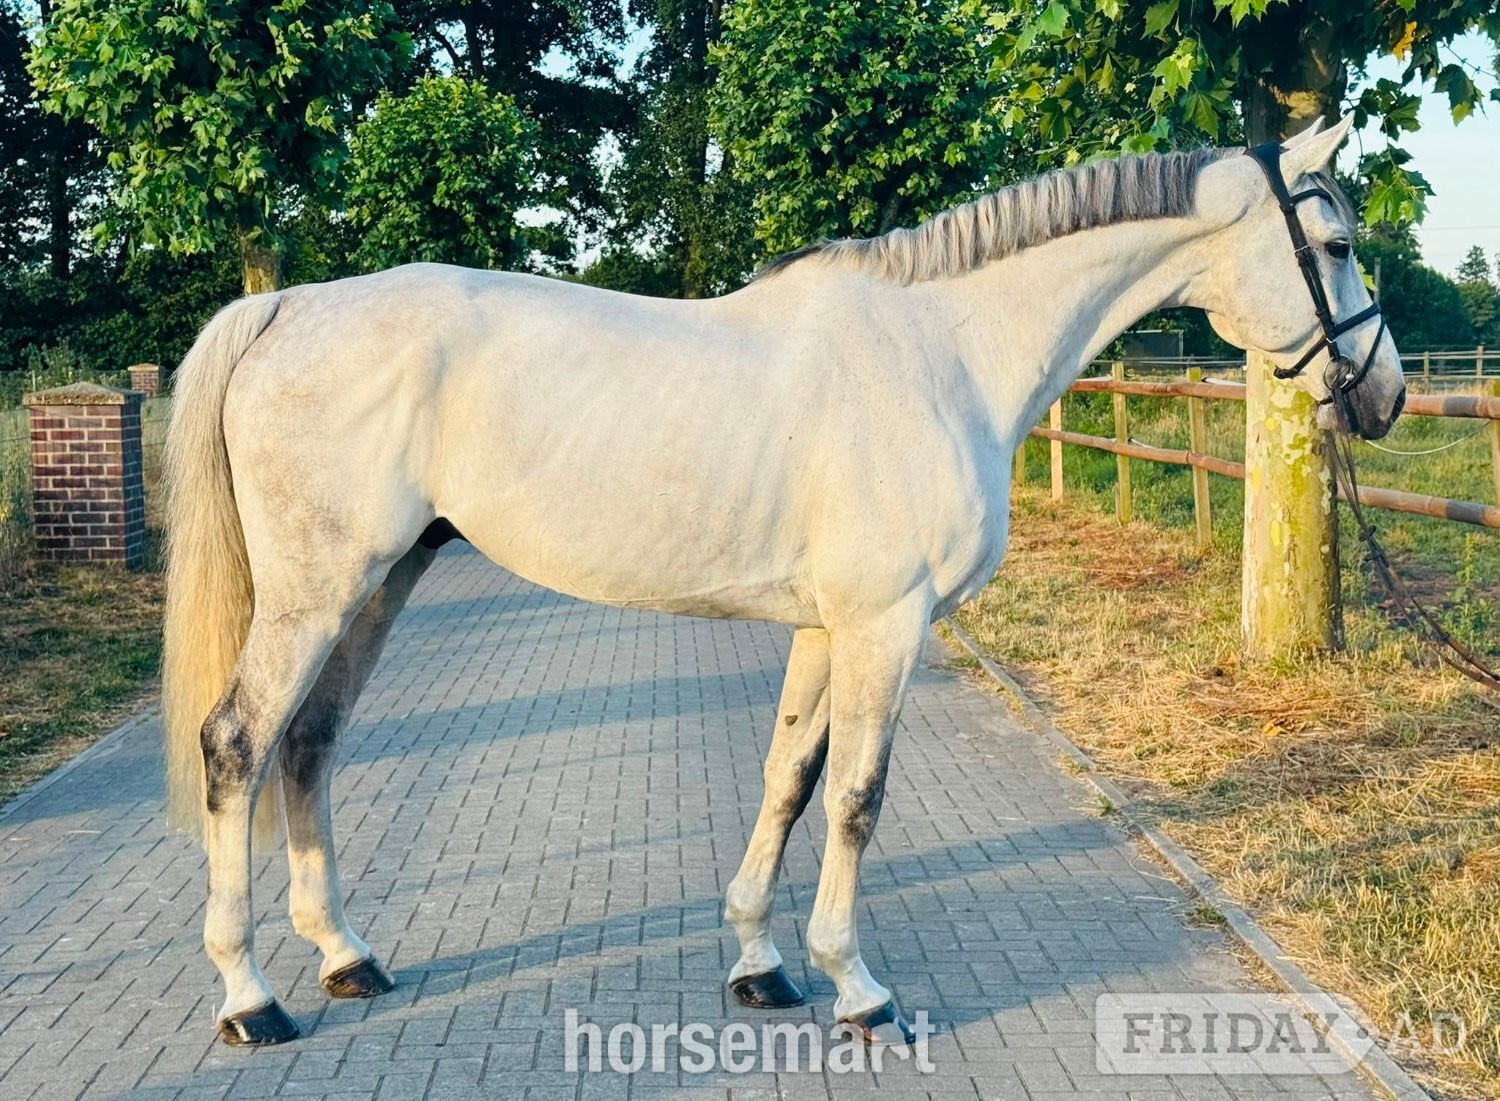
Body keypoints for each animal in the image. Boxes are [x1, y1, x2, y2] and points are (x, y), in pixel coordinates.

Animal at [161, 114, 1405, 1046]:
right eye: (1338, 243)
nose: (1384, 396)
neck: (940, 351)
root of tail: (282, 306)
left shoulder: (826, 628)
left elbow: (787, 780)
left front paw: (760, 964)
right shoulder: (887, 626)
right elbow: (857, 798)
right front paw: (856, 987)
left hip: (381, 582)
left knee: (309, 743)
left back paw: (346, 957)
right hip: (320, 591)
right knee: (237, 743)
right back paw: (250, 997)